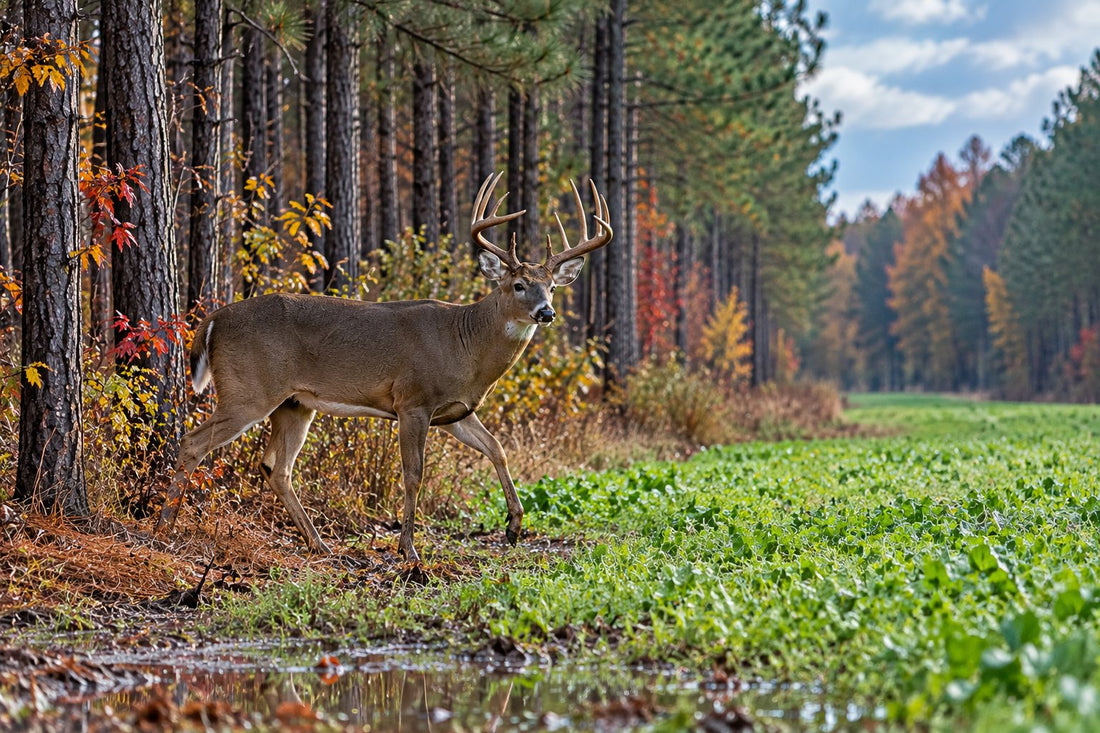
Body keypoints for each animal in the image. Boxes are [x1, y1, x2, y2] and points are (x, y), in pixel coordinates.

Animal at [155, 173, 613, 562]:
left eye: (551, 286)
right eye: (518, 285)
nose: (546, 312)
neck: (465, 343)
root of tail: (212, 320)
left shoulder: (455, 410)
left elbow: (496, 447)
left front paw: (515, 526)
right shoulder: (412, 401)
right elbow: (413, 474)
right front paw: (408, 549)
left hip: (295, 403)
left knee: (276, 467)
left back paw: (319, 543)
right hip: (249, 389)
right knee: (194, 441)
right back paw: (163, 527)